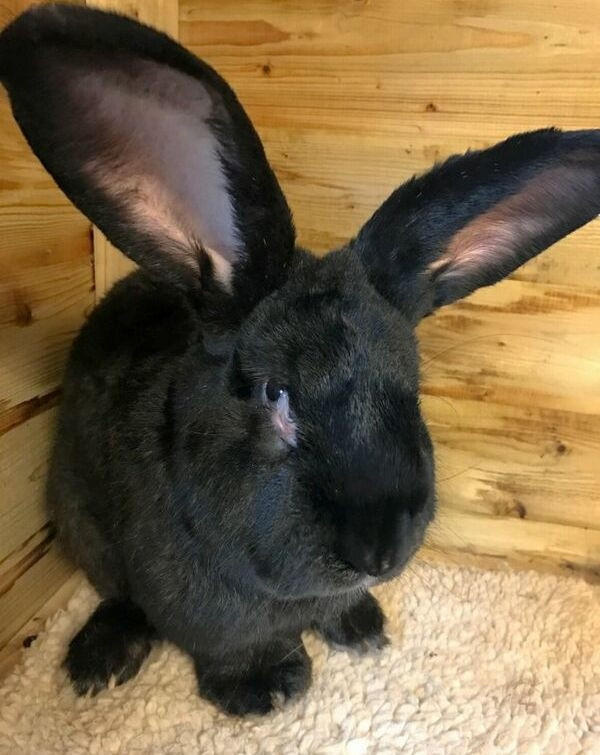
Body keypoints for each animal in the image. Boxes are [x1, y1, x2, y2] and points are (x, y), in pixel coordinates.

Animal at [1, 3, 599, 717]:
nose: (379, 551)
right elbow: (229, 647)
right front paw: (266, 691)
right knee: (116, 593)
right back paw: (99, 661)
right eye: (273, 395)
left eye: (413, 388)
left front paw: (362, 630)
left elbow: (335, 611)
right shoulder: (203, 615)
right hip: (78, 516)